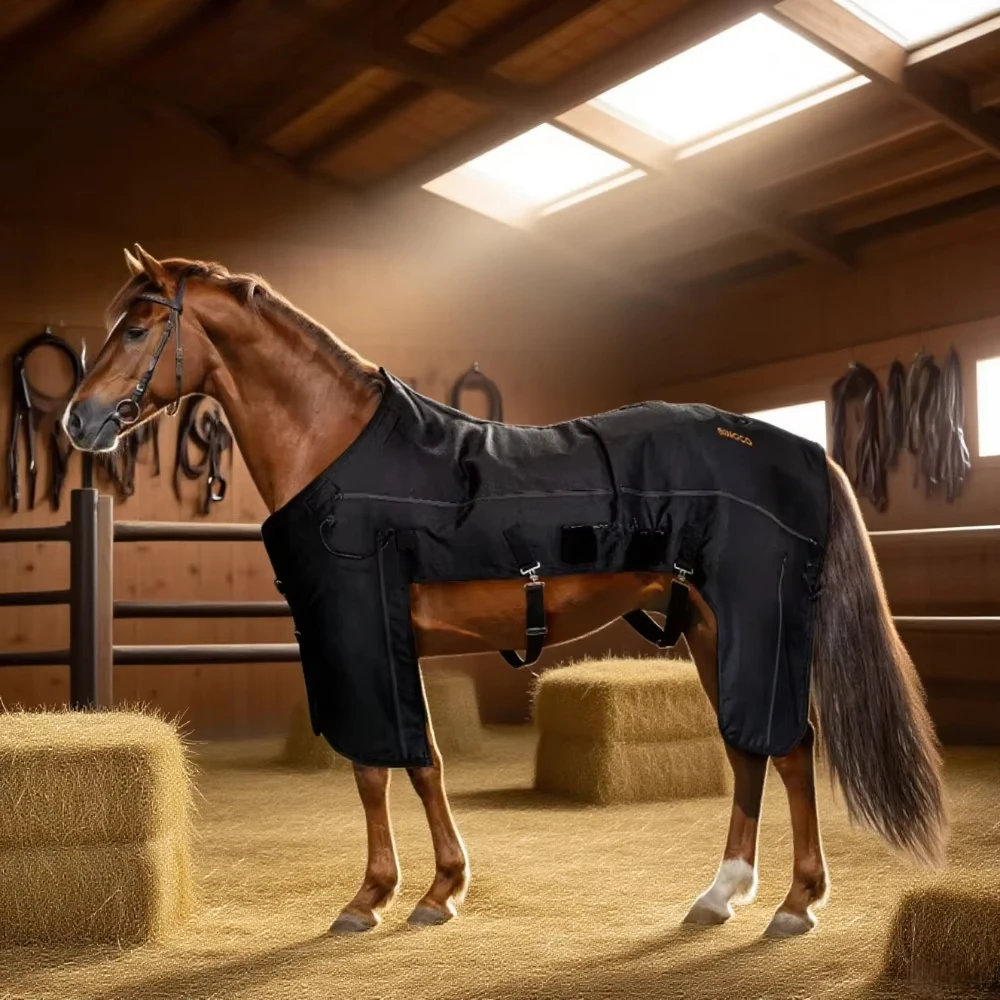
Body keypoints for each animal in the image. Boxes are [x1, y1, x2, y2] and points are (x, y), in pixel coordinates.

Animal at [63, 244, 947, 939]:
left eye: (137, 328)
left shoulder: (359, 635)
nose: (78, 421)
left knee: (788, 746)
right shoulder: (381, 643)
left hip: (752, 626)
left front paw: (381, 896)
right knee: (750, 751)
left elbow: (381, 765)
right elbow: (415, 763)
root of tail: (797, 447)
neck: (336, 443)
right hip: (707, 629)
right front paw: (435, 889)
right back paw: (723, 894)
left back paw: (796, 905)